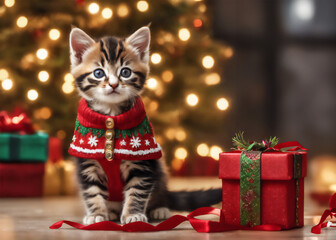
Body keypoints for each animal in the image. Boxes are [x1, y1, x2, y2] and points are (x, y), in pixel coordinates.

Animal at [68, 26, 222, 225]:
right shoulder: (87, 162)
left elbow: (137, 191)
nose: (113, 84)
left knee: (160, 195)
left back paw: (159, 209)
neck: (111, 113)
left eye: (125, 72)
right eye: (98, 73)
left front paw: (133, 214)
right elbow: (92, 192)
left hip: (161, 171)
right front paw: (96, 214)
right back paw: (112, 212)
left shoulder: (143, 162)